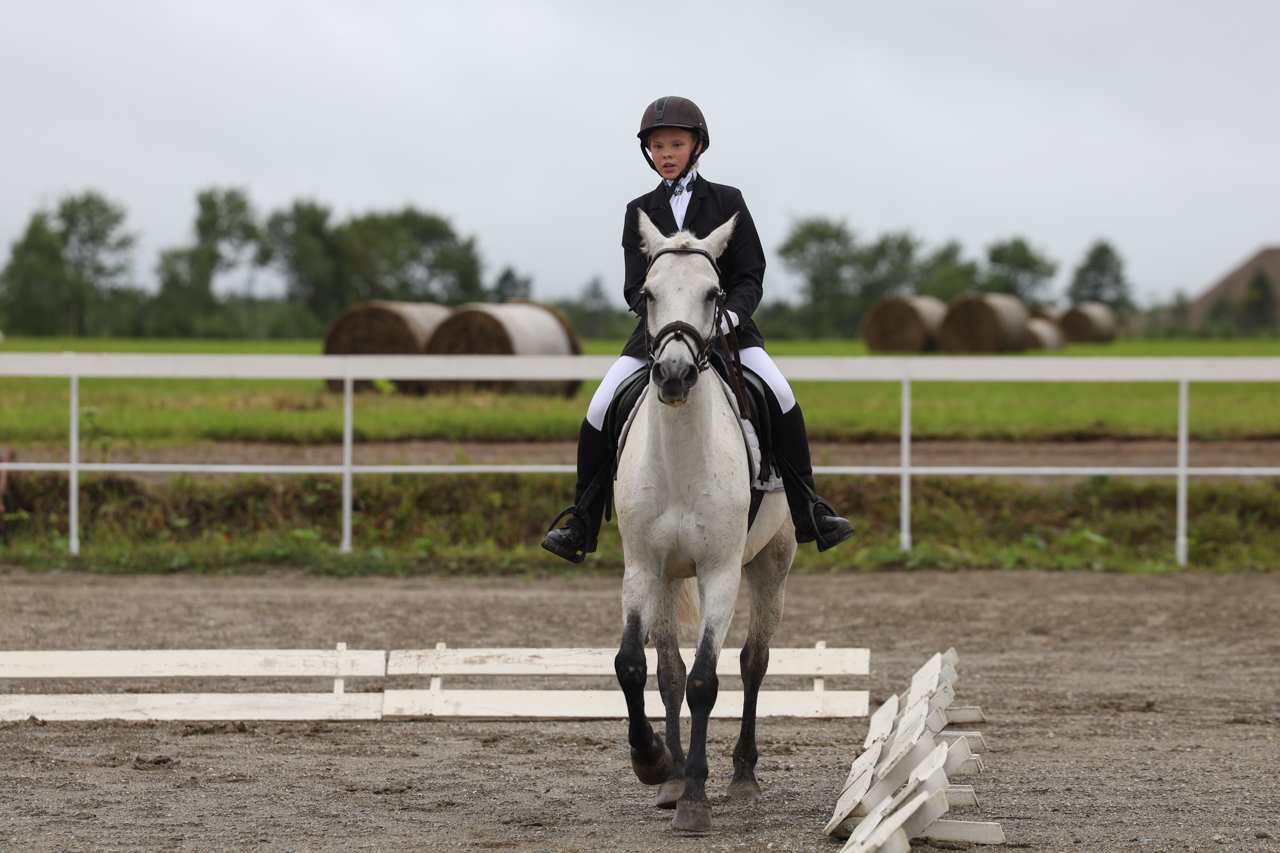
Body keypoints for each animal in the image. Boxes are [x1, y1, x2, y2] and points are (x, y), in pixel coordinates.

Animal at [606, 207, 793, 829]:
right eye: (647, 293)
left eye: (715, 294)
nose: (673, 376)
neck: (683, 458)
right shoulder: (643, 567)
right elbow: (635, 666)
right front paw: (654, 763)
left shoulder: (721, 573)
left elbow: (707, 679)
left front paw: (694, 797)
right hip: (667, 578)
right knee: (667, 669)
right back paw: (671, 775)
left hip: (772, 565)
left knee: (754, 661)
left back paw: (741, 774)